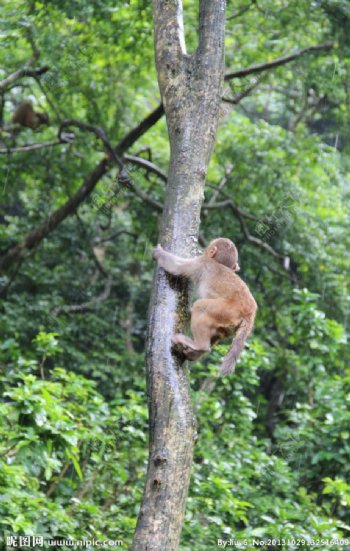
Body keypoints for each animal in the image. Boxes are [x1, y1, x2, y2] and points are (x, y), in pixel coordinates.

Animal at [153, 239, 258, 378]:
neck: (218, 263)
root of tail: (249, 314)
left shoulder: (201, 263)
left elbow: (176, 266)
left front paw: (158, 253)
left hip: (226, 310)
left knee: (201, 306)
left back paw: (200, 346)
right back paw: (196, 353)